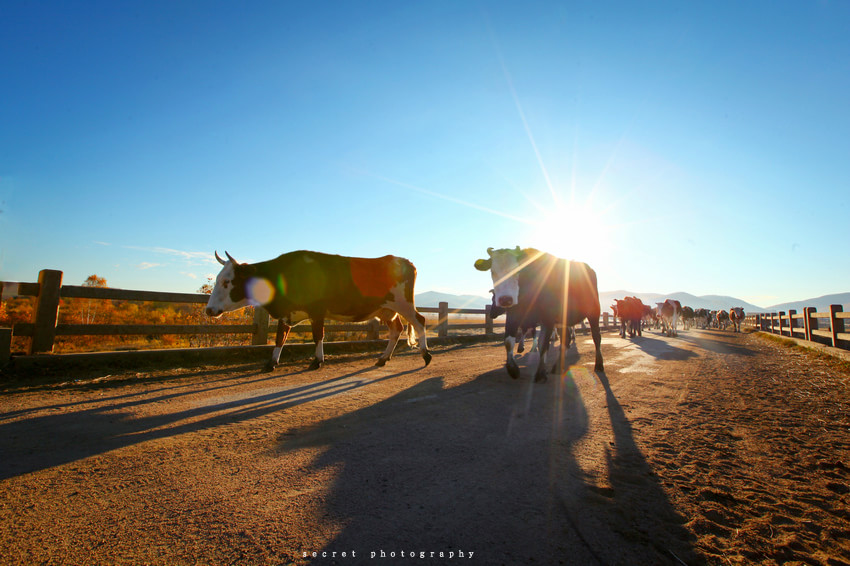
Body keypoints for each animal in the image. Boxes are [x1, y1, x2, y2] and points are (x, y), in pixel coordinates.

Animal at [205, 252, 430, 372]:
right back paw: (383, 358)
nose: (208, 310)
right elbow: (280, 338)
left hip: (403, 304)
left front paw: (317, 360)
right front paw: (271, 362)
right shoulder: (287, 313)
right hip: (386, 310)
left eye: (227, 282)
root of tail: (404, 261)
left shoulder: (317, 310)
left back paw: (426, 354)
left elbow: (317, 335)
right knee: (397, 330)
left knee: (419, 321)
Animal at [470, 247, 604, 384]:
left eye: (519, 269)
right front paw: (513, 369)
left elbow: (542, 343)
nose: (505, 299)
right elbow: (508, 341)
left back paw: (599, 365)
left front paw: (540, 373)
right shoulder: (515, 315)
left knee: (596, 336)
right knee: (566, 339)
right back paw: (556, 367)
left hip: (594, 311)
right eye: (492, 271)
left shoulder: (548, 318)